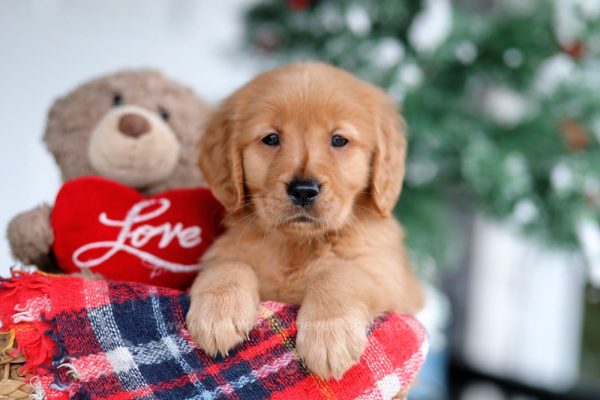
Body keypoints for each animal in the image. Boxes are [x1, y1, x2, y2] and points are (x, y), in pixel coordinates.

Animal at [185, 61, 424, 378]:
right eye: (271, 138)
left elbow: (341, 273)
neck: (298, 245)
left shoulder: (390, 276)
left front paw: (329, 334)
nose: (303, 190)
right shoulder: (226, 250)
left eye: (339, 140)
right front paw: (218, 312)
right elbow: (228, 263)